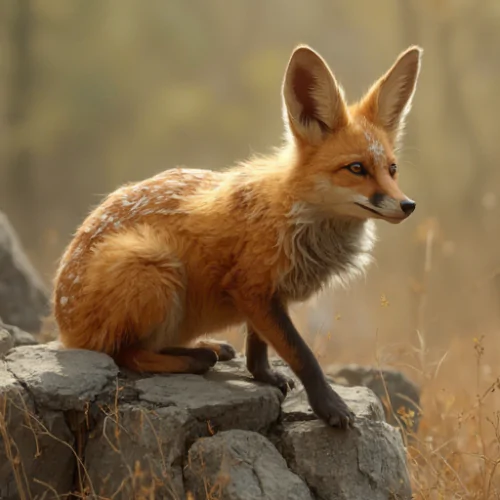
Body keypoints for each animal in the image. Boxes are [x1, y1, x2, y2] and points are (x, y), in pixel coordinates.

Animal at [53, 45, 422, 430]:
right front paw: (329, 405)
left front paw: (264, 376)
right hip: (154, 266)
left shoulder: (268, 294)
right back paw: (193, 359)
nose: (408, 205)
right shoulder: (251, 288)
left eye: (392, 169)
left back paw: (209, 348)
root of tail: (64, 329)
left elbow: (258, 349)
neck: (293, 217)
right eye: (356, 169)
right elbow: (302, 354)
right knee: (126, 354)